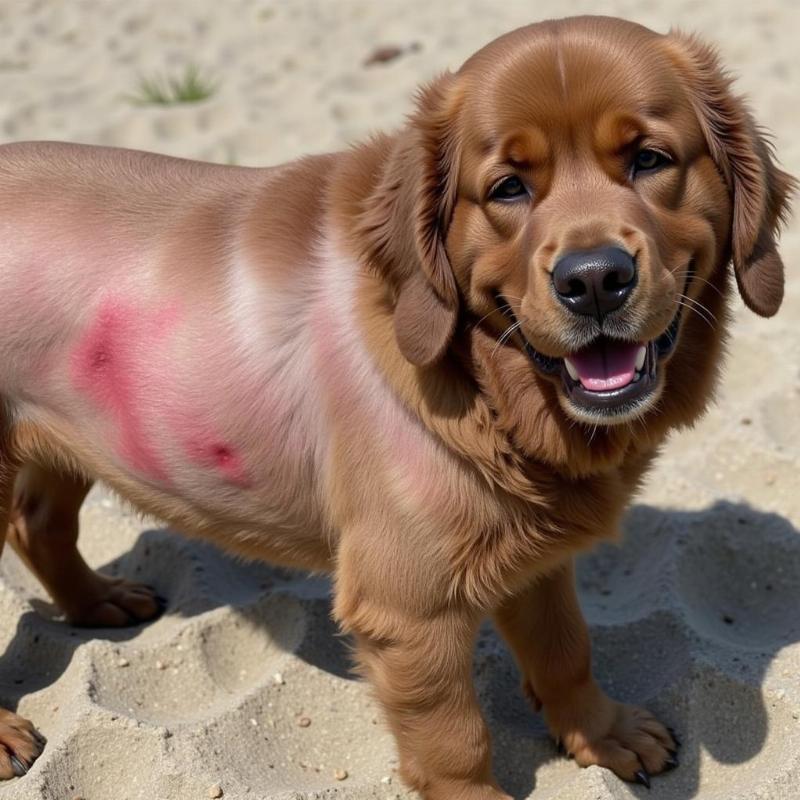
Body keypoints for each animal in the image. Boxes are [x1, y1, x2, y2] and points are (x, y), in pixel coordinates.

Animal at [0, 14, 792, 800]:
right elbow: (455, 739)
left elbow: (566, 648)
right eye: (507, 188)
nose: (594, 279)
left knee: (38, 524)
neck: (486, 384)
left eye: (650, 160)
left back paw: (95, 602)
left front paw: (603, 731)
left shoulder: (531, 547)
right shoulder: (409, 608)